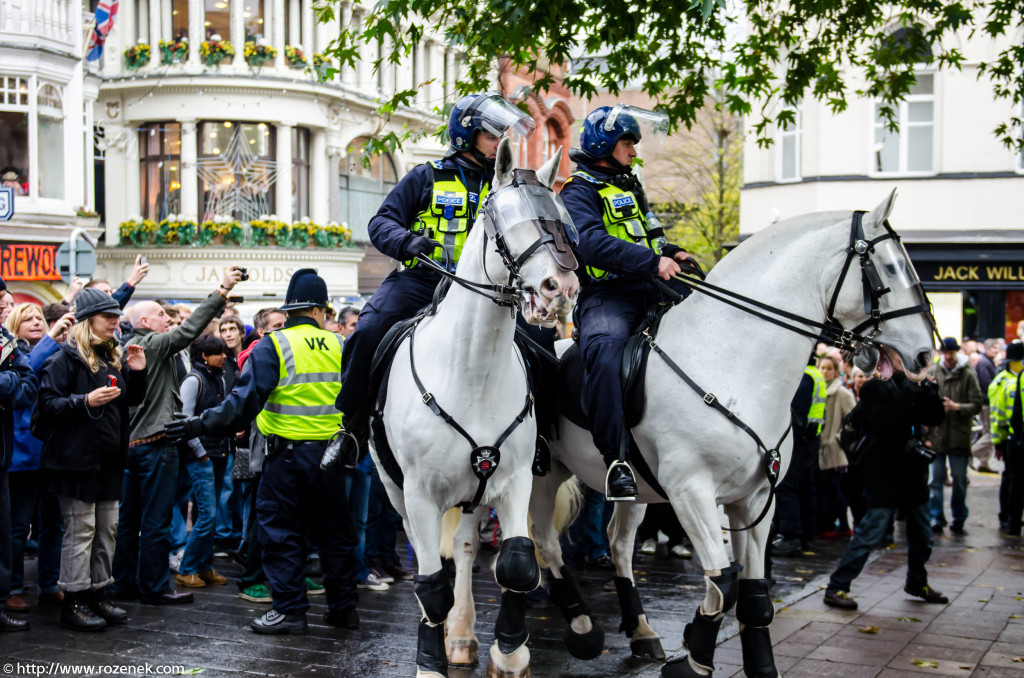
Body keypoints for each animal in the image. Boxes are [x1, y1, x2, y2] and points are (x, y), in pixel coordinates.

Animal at [368, 139, 581, 678]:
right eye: (502, 219)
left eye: (562, 218)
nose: (560, 289)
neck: (472, 371)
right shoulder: (419, 495)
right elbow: (430, 584)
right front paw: (428, 661)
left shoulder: (515, 480)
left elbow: (518, 565)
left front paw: (509, 651)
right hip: (396, 492)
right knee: (434, 566)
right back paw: (447, 635)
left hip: (472, 492)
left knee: (464, 549)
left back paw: (462, 636)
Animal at [516, 191, 937, 678]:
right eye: (888, 268)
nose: (925, 354)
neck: (729, 359)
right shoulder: (691, 492)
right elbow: (726, 583)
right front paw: (693, 661)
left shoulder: (754, 498)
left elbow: (754, 595)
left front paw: (758, 665)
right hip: (544, 475)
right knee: (545, 541)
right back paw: (580, 629)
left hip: (634, 489)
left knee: (619, 544)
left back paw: (641, 631)